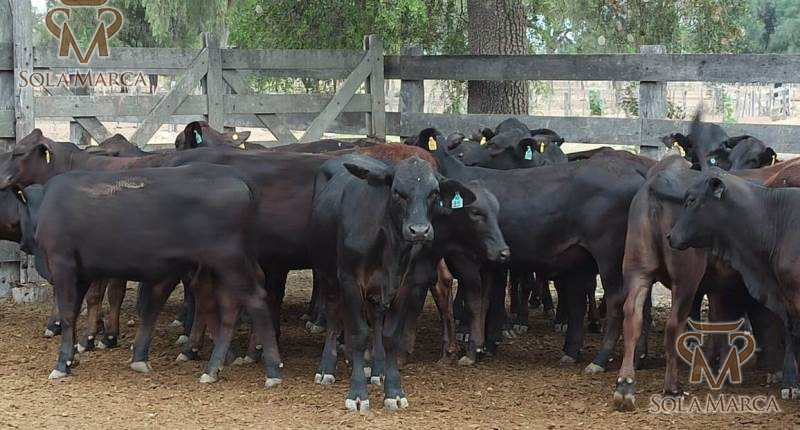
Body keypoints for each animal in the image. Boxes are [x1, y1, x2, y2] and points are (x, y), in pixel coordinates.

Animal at [11, 164, 282, 387]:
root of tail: (236, 176)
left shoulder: (62, 263)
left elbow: (68, 314)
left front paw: (62, 364)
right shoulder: (82, 272)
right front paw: (73, 358)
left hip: (229, 260)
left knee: (255, 299)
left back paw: (273, 370)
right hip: (221, 266)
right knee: (228, 308)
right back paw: (212, 369)